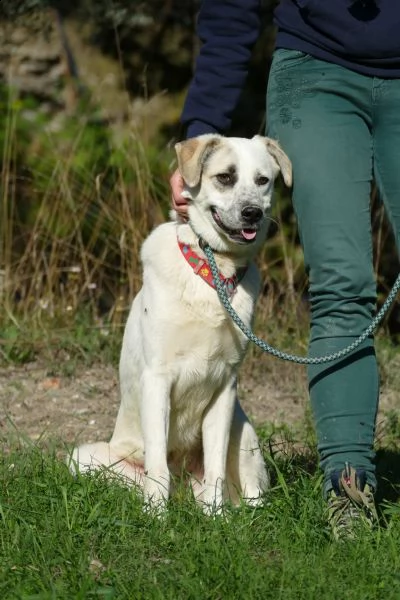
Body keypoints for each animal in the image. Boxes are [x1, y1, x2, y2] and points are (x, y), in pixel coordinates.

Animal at [69, 134, 290, 512]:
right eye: (225, 177)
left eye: (263, 180)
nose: (253, 213)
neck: (214, 276)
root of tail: (185, 489)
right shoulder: (157, 379)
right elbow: (158, 464)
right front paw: (156, 519)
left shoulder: (225, 386)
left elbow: (215, 466)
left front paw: (216, 519)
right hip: (83, 457)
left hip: (244, 432)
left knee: (251, 498)